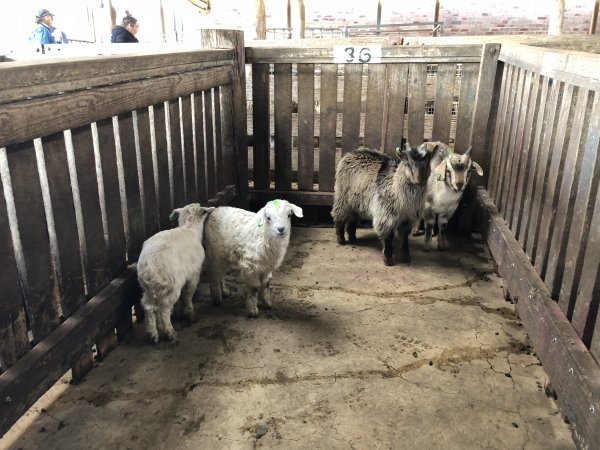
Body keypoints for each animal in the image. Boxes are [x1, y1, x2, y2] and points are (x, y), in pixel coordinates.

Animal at [136, 202, 213, 342]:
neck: (190, 228)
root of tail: (150, 266)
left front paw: (178, 312)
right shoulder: (194, 274)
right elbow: (188, 295)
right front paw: (190, 314)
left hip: (148, 287)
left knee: (149, 307)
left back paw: (153, 334)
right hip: (172, 283)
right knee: (163, 308)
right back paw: (169, 332)